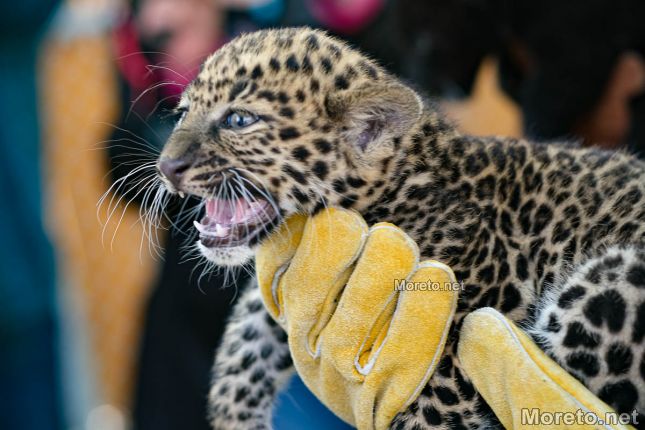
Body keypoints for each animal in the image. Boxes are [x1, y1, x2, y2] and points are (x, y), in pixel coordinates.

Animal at [154, 27, 645, 429]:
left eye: (238, 120)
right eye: (183, 112)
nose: (166, 166)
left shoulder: (461, 334)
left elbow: (443, 399)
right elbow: (248, 338)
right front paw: (234, 416)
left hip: (615, 282)